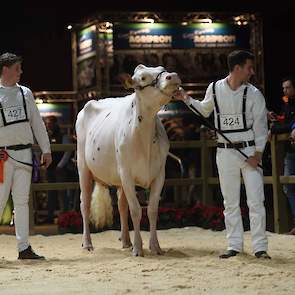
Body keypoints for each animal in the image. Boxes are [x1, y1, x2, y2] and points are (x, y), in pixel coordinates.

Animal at [76, 65, 182, 256]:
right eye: (143, 78)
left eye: (162, 69)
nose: (172, 76)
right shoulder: (126, 174)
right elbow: (136, 210)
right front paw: (139, 248)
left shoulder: (159, 175)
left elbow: (152, 210)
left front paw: (155, 246)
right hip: (83, 167)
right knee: (85, 204)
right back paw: (87, 243)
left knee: (121, 205)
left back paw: (126, 241)